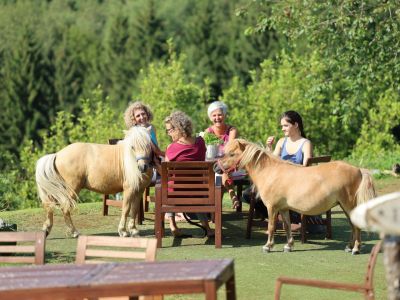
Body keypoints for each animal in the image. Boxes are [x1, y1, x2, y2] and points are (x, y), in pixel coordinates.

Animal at [216, 138, 376, 253]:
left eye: (232, 154)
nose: (216, 167)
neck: (270, 172)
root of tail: (358, 170)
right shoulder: (283, 208)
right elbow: (287, 225)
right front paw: (288, 246)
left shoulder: (272, 208)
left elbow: (271, 226)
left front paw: (268, 246)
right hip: (344, 206)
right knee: (353, 224)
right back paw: (349, 247)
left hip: (348, 205)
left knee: (355, 225)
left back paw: (355, 249)